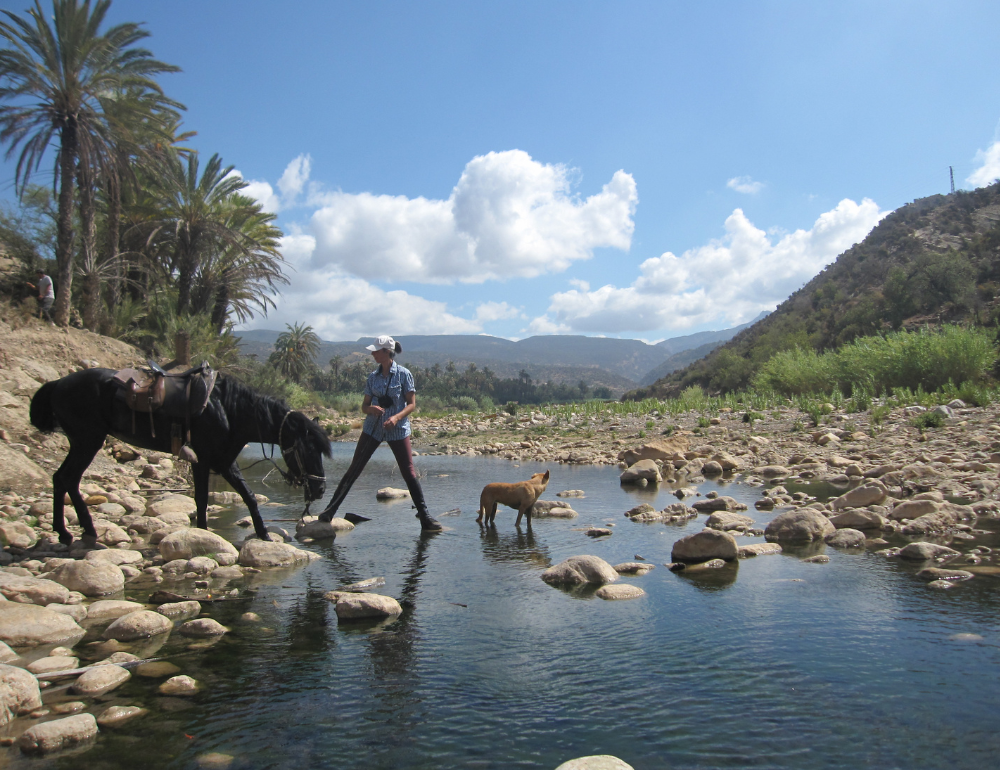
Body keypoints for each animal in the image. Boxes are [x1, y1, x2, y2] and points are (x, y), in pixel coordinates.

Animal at [27, 368, 330, 544]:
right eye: (309, 449)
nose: (319, 490)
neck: (229, 411)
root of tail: (57, 383)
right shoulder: (204, 460)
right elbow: (202, 499)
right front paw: (203, 534)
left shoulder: (224, 462)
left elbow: (250, 496)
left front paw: (264, 534)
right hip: (87, 441)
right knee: (66, 478)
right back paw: (70, 532)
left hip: (83, 443)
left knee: (63, 479)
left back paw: (76, 531)